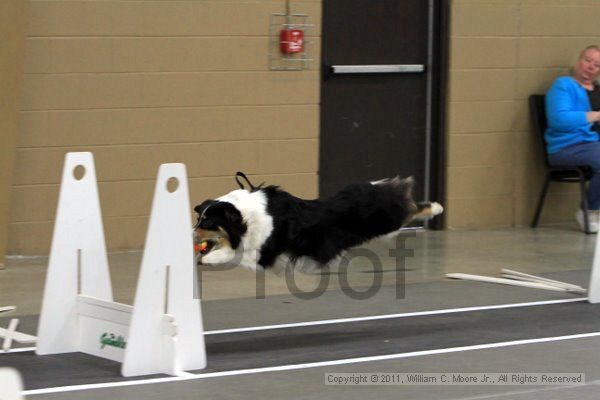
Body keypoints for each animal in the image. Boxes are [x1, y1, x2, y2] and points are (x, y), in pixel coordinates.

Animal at [195, 174, 442, 272]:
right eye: (198, 219)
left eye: (207, 222)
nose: (190, 234)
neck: (244, 217)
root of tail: (374, 189)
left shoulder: (265, 252)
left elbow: (232, 253)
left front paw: (206, 259)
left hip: (388, 223)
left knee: (411, 208)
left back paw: (436, 207)